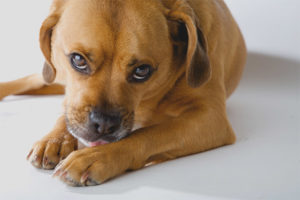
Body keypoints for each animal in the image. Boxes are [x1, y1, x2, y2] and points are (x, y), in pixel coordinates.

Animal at [0, 0, 246, 187]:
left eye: (142, 70)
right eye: (78, 59)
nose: (103, 125)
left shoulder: (210, 118)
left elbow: (148, 134)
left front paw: (96, 157)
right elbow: (69, 109)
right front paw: (57, 138)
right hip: (53, 74)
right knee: (32, 81)